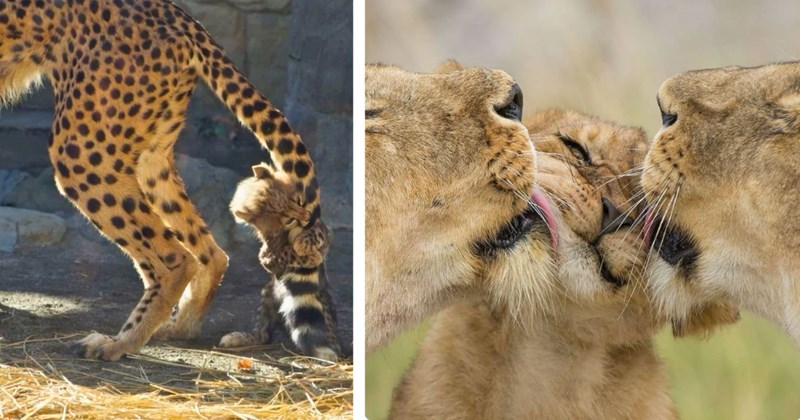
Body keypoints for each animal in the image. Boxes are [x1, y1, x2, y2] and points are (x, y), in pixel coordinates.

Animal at [0, 0, 327, 361]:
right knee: (211, 253)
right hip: (148, 156)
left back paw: (120, 343)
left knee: (176, 258)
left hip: (80, 152)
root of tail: (178, 15)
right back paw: (177, 327)